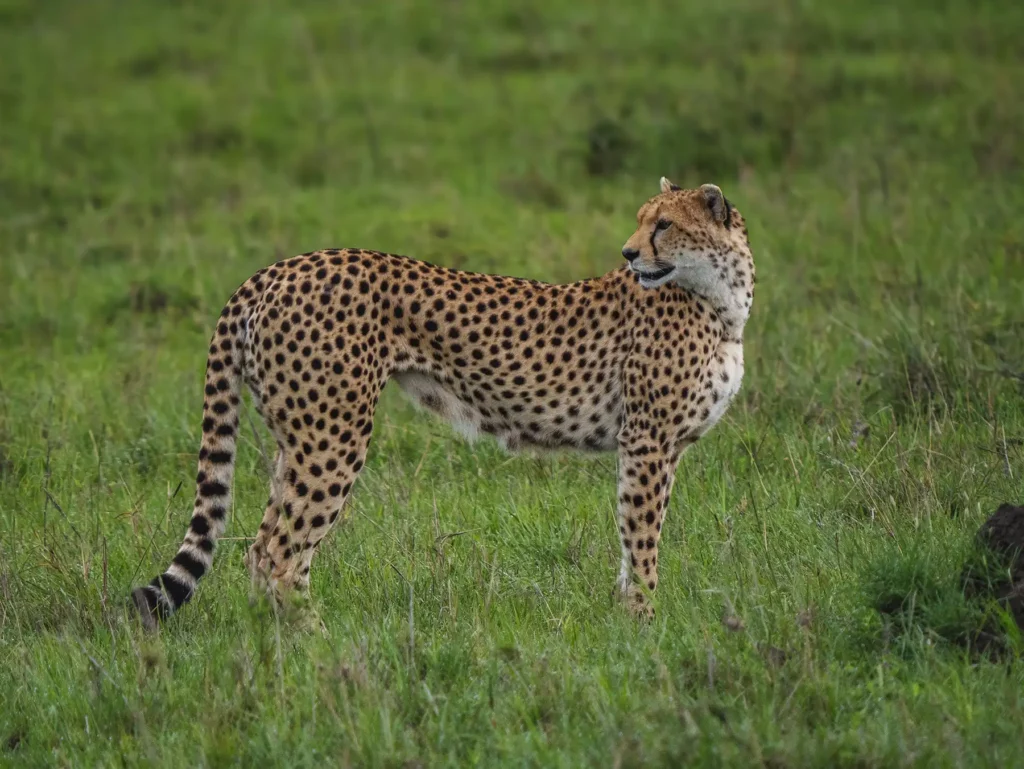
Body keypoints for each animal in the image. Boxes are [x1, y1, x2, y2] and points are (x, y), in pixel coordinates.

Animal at [130, 178, 755, 628]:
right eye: (643, 220)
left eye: (664, 223)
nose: (628, 254)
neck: (722, 301)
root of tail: (278, 268)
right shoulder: (648, 441)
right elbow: (643, 539)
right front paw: (646, 625)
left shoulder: (653, 446)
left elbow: (632, 539)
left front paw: (628, 620)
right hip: (333, 438)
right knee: (281, 555)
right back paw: (320, 646)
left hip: (297, 438)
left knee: (261, 548)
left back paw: (276, 640)